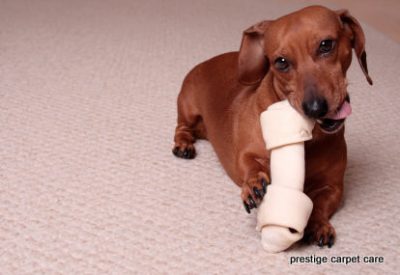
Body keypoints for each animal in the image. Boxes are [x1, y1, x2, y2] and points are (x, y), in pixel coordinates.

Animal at [171, 5, 372, 248]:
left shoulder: (334, 187)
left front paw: (318, 224)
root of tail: (206, 62)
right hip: (188, 109)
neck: (310, 138)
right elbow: (249, 164)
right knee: (181, 128)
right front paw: (254, 183)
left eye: (326, 45)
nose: (315, 108)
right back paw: (184, 145)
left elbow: (320, 204)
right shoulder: (246, 153)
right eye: (281, 62)